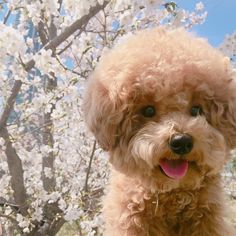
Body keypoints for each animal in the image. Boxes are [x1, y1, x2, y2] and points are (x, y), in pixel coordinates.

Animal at [83, 26, 236, 235]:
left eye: (196, 110)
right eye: (148, 110)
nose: (181, 141)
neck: (171, 193)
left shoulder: (209, 219)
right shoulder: (130, 219)